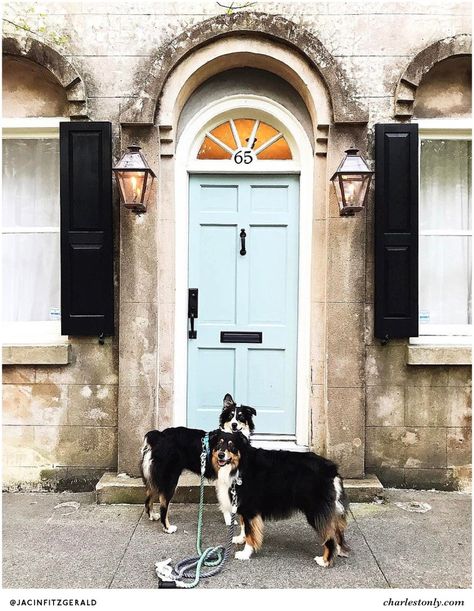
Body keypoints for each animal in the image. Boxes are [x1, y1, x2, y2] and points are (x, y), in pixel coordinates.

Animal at [140, 394, 256, 532]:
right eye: (230, 416)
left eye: (241, 417)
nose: (234, 424)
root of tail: (158, 436)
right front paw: (229, 520)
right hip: (170, 478)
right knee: (163, 504)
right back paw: (168, 527)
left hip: (154, 477)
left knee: (148, 497)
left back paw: (152, 515)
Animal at [209, 430, 350, 568]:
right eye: (218, 444)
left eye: (232, 445)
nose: (221, 455)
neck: (240, 465)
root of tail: (331, 470)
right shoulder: (243, 507)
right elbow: (244, 526)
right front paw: (240, 538)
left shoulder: (250, 508)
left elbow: (250, 533)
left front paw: (245, 554)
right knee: (337, 531)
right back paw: (339, 551)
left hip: (315, 511)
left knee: (330, 537)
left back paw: (325, 561)